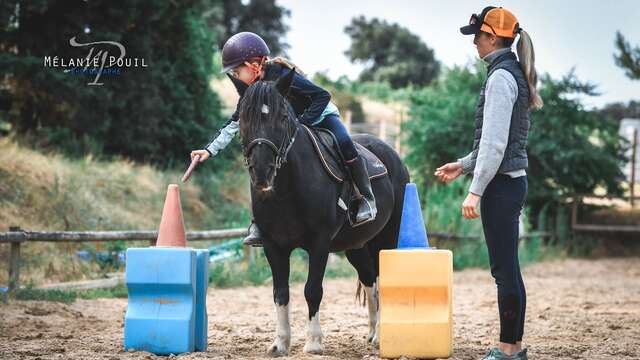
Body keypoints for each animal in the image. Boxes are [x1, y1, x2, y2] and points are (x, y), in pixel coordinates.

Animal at [236, 69, 410, 356]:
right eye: (242, 118)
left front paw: (314, 342)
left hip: (387, 239)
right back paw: (373, 332)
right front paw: (280, 343)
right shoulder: (273, 245)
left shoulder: (319, 243)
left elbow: (312, 290)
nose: (262, 171)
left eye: (283, 117)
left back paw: (381, 335)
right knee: (369, 280)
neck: (288, 189)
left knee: (382, 280)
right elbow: (280, 292)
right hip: (357, 246)